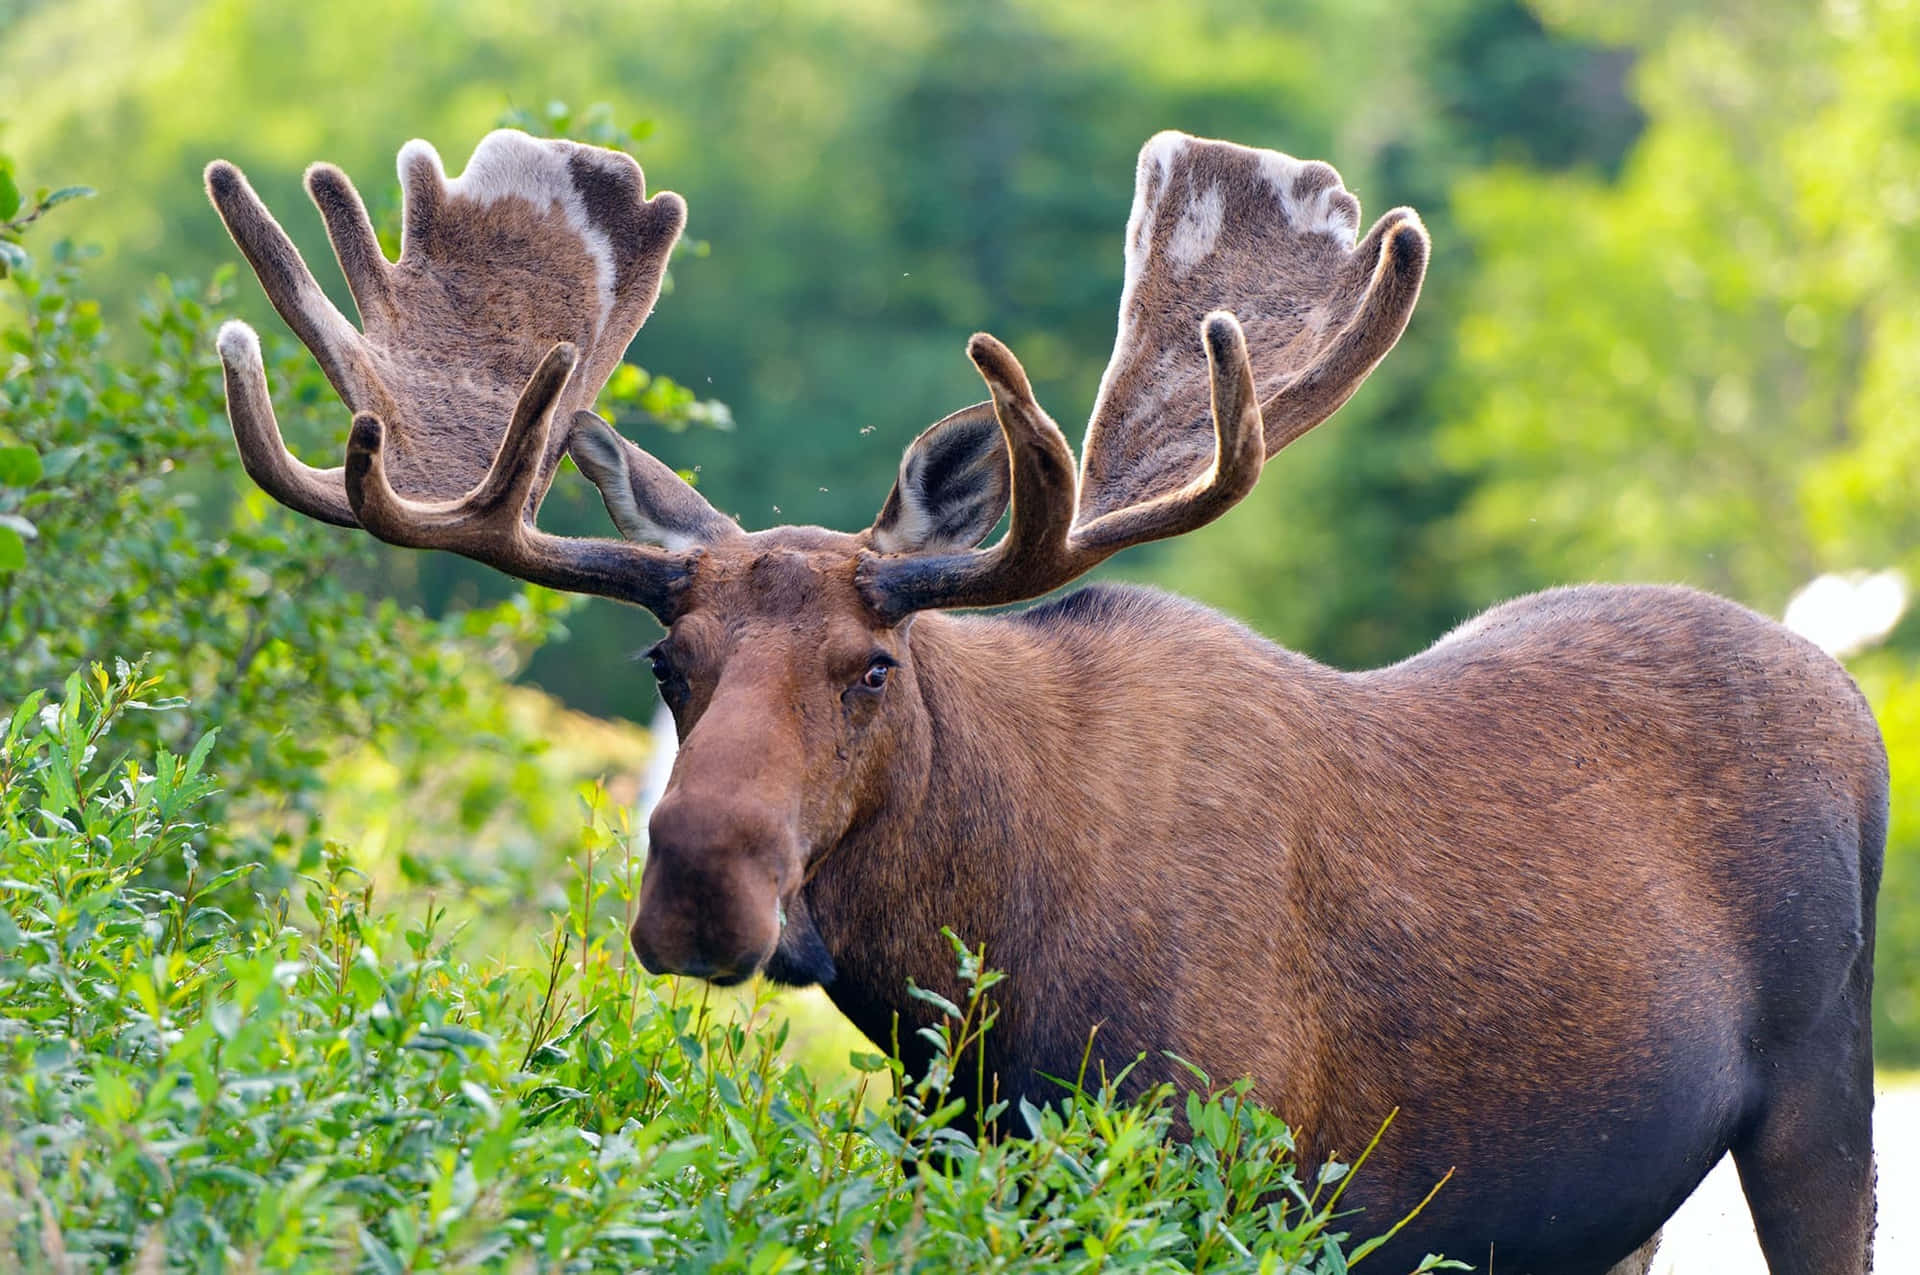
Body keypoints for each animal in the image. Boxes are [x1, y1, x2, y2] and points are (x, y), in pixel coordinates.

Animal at [202, 124, 1881, 1267]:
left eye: (873, 665)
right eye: (665, 664)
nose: (696, 887)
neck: (972, 981)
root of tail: (1850, 691)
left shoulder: (1232, 1160)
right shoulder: (948, 1148)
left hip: (1822, 1097)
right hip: (1600, 1205)